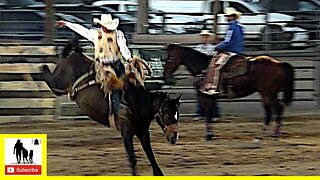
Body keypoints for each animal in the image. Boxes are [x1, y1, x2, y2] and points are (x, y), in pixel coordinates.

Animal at [42, 39, 181, 176]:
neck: (136, 103)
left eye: (177, 115)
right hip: (58, 82)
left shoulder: (143, 133)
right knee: (49, 79)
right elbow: (133, 160)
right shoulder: (126, 134)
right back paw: (42, 68)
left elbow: (151, 157)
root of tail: (73, 55)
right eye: (168, 115)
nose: (174, 137)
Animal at [164, 43, 294, 141]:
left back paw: (271, 135)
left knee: (276, 110)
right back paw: (264, 135)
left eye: (170, 58)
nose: (165, 75)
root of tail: (279, 64)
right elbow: (209, 114)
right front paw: (210, 135)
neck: (203, 68)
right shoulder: (210, 97)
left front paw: (207, 136)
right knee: (271, 111)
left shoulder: (205, 96)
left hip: (268, 94)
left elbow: (207, 115)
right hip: (268, 94)